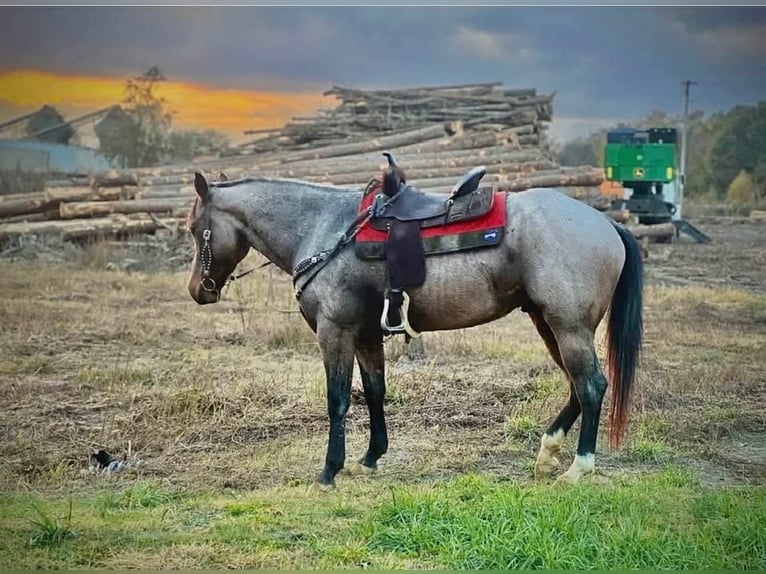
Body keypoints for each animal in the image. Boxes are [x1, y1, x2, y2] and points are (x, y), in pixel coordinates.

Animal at [184, 167, 643, 488]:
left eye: (193, 229)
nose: (197, 290)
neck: (323, 228)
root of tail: (608, 224)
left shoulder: (335, 331)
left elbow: (337, 400)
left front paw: (330, 470)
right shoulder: (367, 335)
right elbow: (374, 393)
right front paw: (370, 458)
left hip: (568, 327)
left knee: (591, 387)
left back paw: (578, 468)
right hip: (550, 325)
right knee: (577, 387)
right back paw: (547, 453)